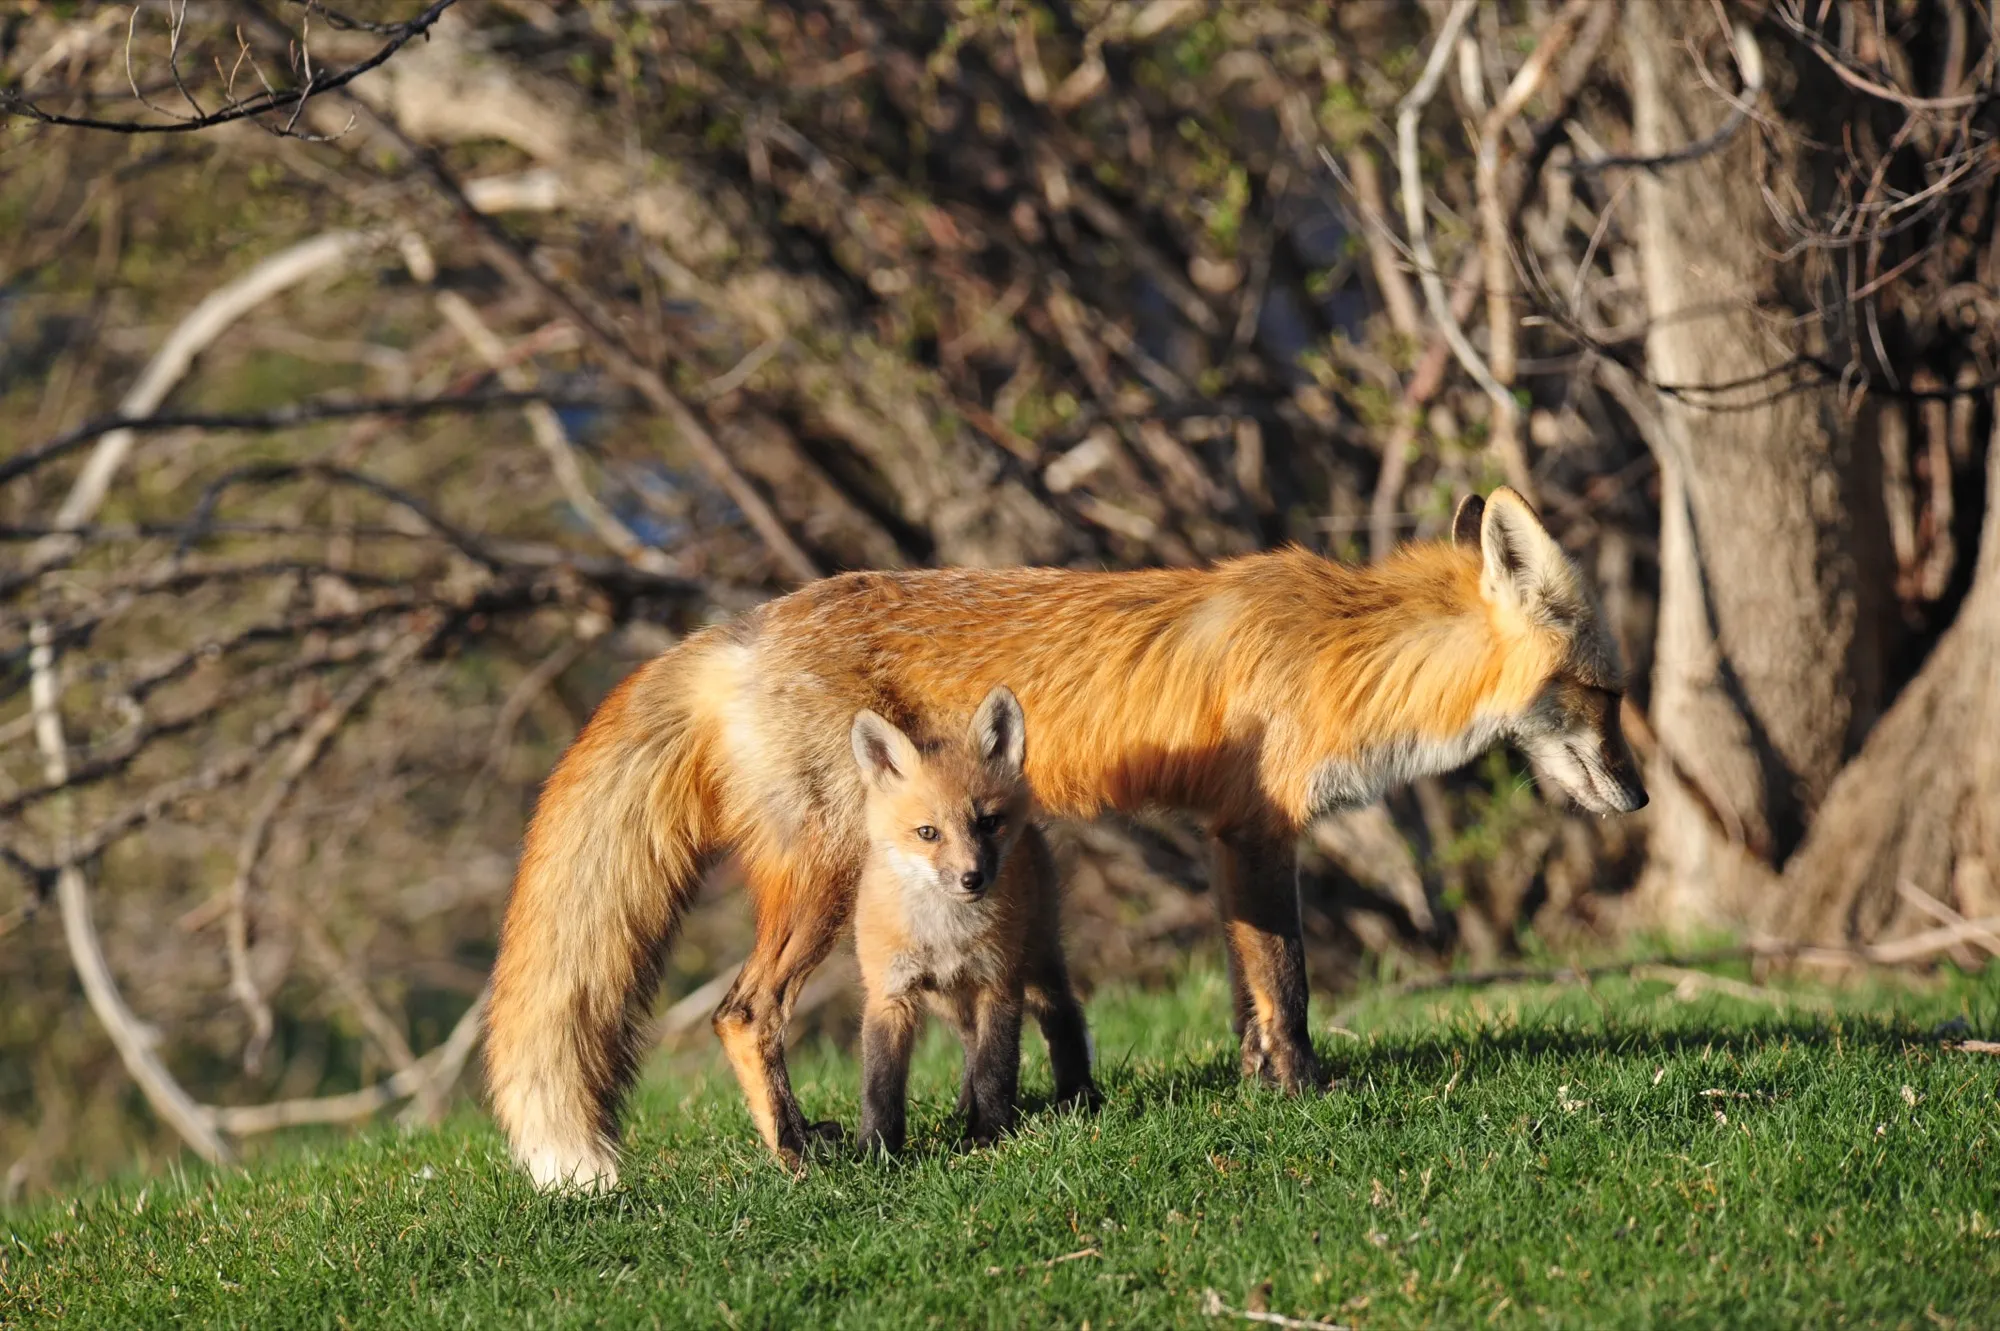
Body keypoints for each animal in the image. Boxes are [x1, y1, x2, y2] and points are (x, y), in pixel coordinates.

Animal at [847, 685, 1098, 1155]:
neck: (946, 933)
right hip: (948, 1000)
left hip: (1038, 962)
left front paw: (989, 1135)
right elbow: (880, 1085)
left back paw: (1079, 1097)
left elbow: (995, 1068)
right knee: (968, 1045)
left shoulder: (998, 984)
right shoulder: (890, 994)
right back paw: (963, 1109)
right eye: (928, 833)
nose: (972, 878)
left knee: (1062, 1016)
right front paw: (877, 1152)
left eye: (988, 823)